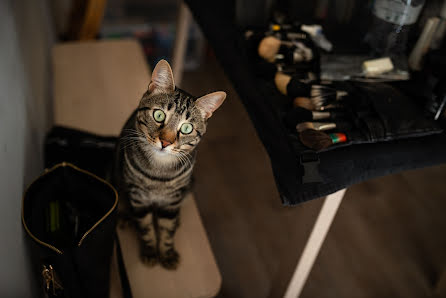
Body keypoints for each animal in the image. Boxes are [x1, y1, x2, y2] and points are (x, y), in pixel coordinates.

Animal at [114, 59, 226, 268]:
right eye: (159, 115)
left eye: (187, 128)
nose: (165, 142)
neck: (159, 171)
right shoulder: (138, 196)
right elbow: (146, 226)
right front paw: (150, 251)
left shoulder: (172, 199)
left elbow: (167, 229)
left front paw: (167, 253)